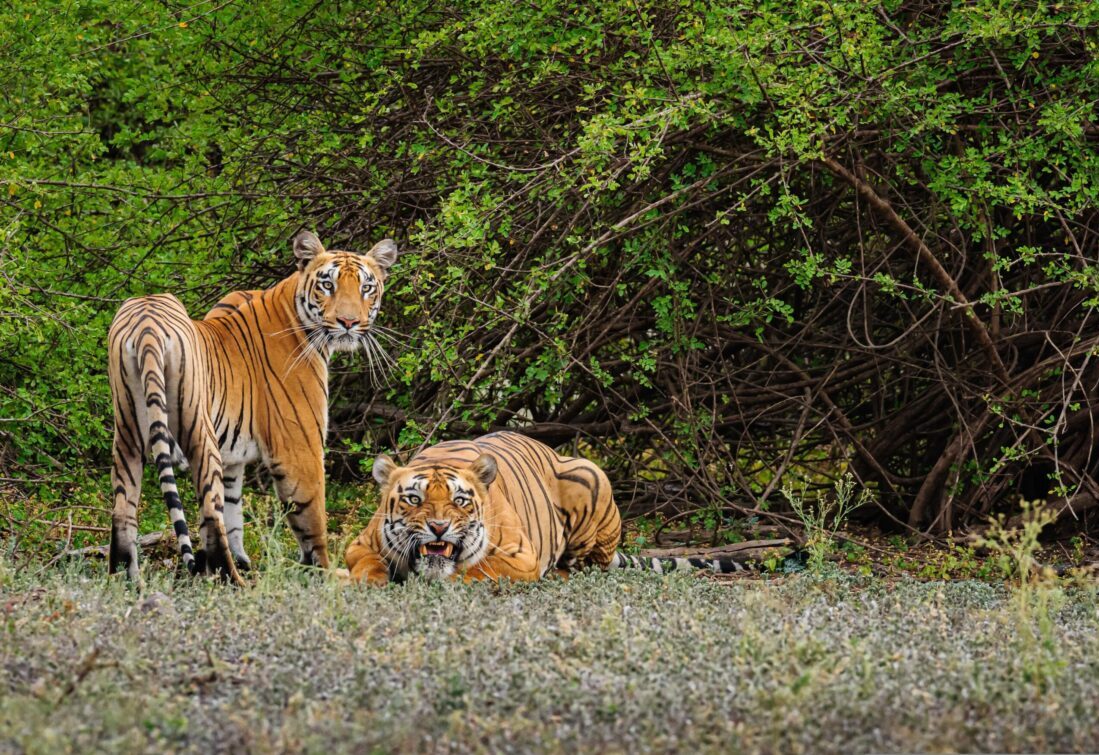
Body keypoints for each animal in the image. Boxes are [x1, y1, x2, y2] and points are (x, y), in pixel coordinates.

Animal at [108, 230, 397, 583]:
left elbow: (234, 512)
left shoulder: (233, 459)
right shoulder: (299, 447)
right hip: (198, 432)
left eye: (366, 287)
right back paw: (233, 580)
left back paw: (126, 579)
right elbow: (311, 516)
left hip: (127, 432)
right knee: (209, 516)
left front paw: (245, 559)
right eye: (328, 284)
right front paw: (324, 573)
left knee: (124, 510)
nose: (348, 321)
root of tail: (146, 323)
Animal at [344, 431, 760, 584]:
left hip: (590, 475)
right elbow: (367, 565)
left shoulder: (519, 558)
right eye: (414, 499)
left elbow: (475, 571)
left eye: (459, 501)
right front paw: (368, 580)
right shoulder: (359, 545)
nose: (439, 528)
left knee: (587, 564)